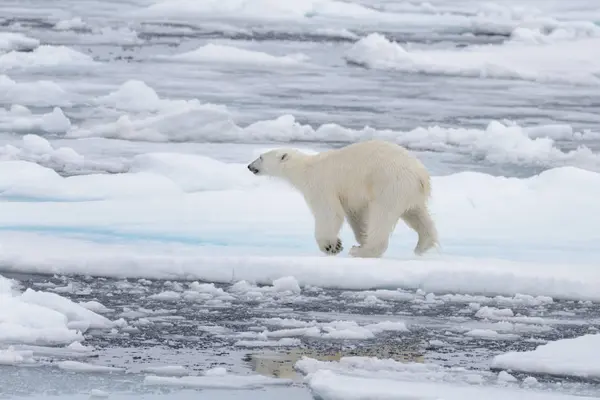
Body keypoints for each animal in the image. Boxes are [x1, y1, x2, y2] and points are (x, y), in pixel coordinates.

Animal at [246, 140, 438, 260]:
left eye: (261, 157)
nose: (249, 166)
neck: (305, 168)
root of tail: (421, 175)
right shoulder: (349, 195)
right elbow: (355, 214)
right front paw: (359, 238)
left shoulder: (321, 184)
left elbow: (329, 213)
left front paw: (331, 246)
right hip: (409, 192)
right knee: (416, 214)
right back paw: (422, 245)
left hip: (390, 184)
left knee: (382, 215)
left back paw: (362, 251)